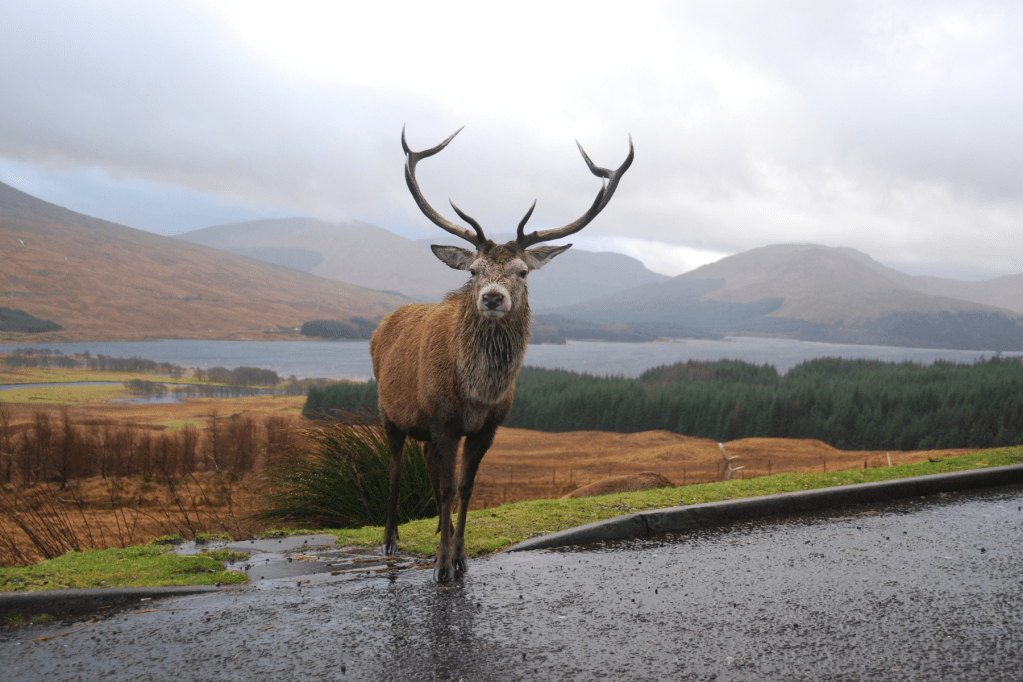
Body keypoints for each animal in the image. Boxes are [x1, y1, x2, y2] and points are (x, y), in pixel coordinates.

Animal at [371, 126, 633, 581]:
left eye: (522, 271)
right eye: (474, 270)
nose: (493, 297)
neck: (476, 394)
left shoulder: (488, 427)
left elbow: (466, 488)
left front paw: (460, 556)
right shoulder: (441, 419)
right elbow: (446, 488)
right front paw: (441, 567)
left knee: (427, 464)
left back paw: (438, 529)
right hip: (389, 413)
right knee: (395, 467)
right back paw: (390, 539)